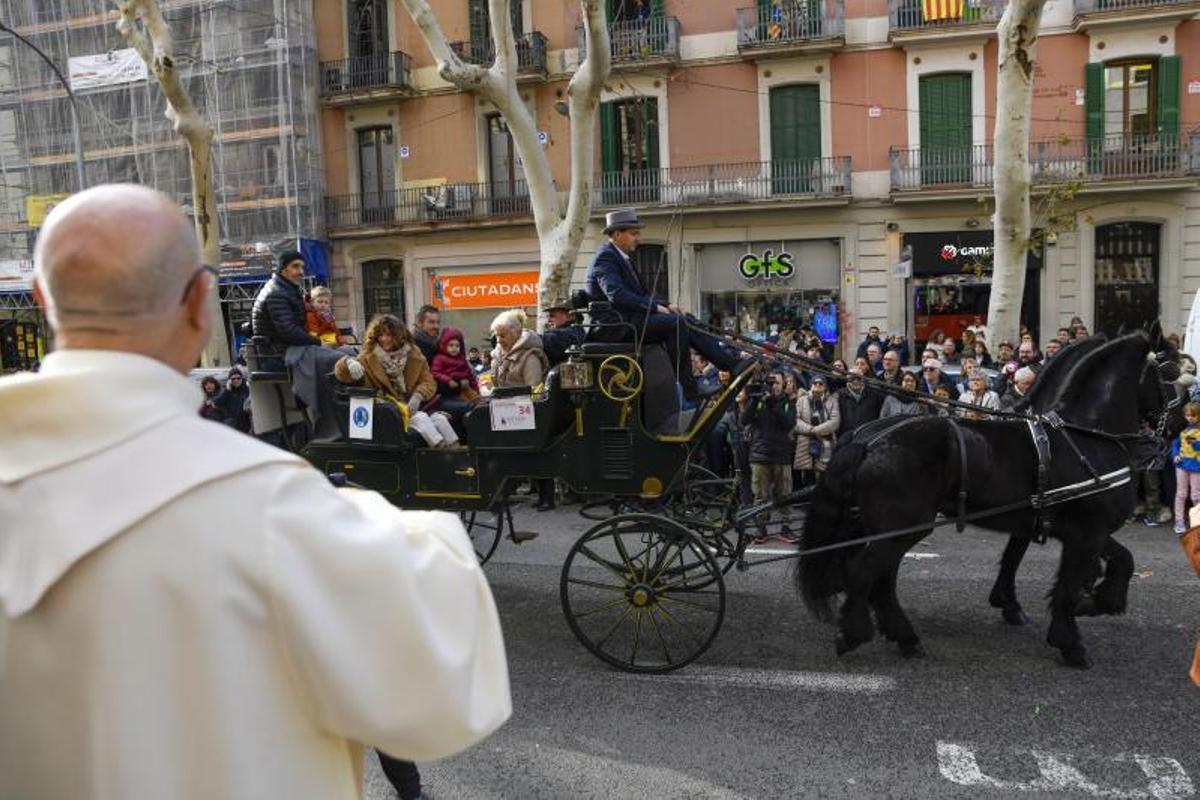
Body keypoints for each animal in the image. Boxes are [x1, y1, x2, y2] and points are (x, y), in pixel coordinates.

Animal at [801, 331, 1166, 671]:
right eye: (1169, 368)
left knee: (877, 576)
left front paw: (1093, 601)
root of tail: (868, 441)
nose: (1164, 432)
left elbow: (1117, 561)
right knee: (865, 571)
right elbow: (1070, 582)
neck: (1087, 436)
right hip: (902, 526)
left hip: (886, 527)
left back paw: (901, 636)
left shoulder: (1073, 529)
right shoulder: (1086, 533)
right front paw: (1071, 638)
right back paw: (855, 632)